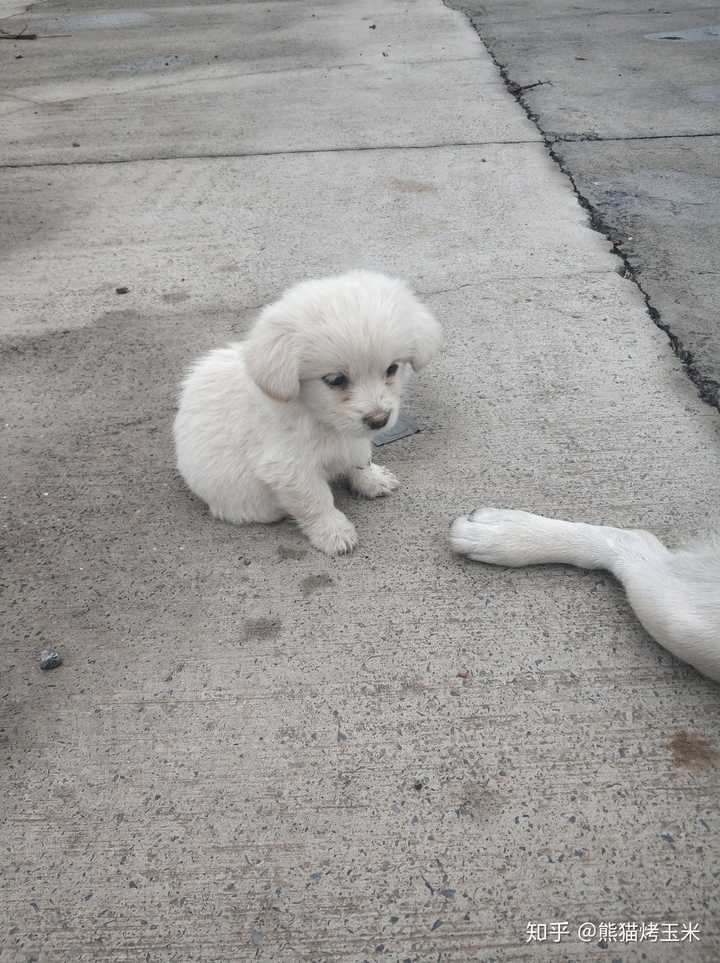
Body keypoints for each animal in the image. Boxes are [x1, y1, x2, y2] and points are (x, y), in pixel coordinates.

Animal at [176, 272, 438, 556]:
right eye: (335, 379)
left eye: (392, 369)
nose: (379, 420)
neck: (317, 416)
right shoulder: (288, 468)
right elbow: (316, 501)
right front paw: (333, 532)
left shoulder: (354, 440)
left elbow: (360, 459)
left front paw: (371, 480)